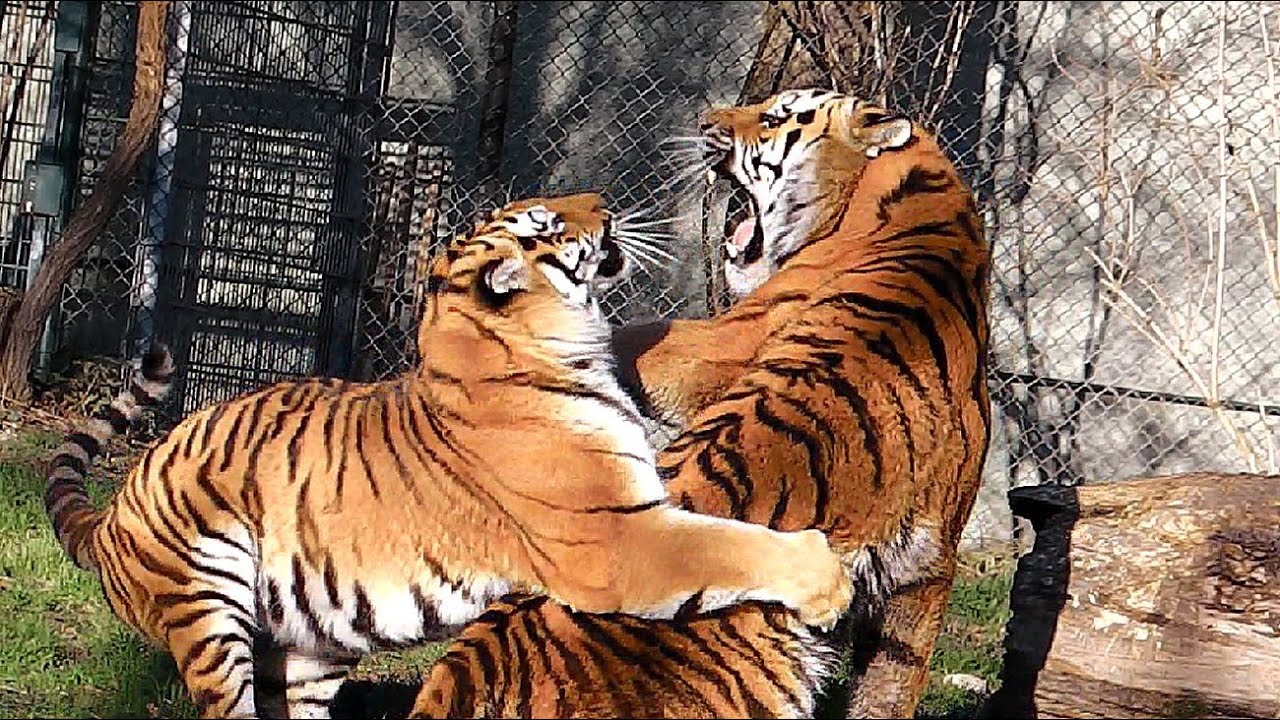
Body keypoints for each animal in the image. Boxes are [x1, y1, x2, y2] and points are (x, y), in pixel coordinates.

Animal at [42, 191, 854, 719]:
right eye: (550, 222)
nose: (605, 203)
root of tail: (108, 519)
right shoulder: (614, 541)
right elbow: (730, 546)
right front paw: (825, 579)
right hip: (208, 617)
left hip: (312, 646)